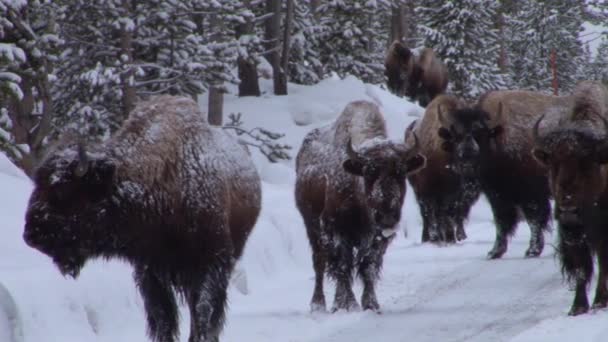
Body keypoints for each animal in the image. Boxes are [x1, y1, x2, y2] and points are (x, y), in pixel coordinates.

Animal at [23, 95, 262, 342]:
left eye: (61, 191)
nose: (31, 236)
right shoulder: (150, 272)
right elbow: (163, 318)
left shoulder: (210, 264)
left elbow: (203, 312)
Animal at [296, 99, 426, 312]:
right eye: (369, 172)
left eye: (400, 172)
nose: (387, 216)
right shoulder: (337, 231)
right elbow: (343, 265)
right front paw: (348, 304)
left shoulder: (377, 237)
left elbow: (368, 265)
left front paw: (371, 304)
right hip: (312, 226)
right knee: (320, 262)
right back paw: (319, 304)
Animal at [406, 93, 482, 243]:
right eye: (456, 136)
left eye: (477, 134)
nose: (469, 151)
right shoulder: (426, 191)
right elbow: (430, 213)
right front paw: (435, 237)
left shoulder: (454, 193)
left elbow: (450, 213)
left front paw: (452, 237)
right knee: (428, 215)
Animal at [528, 80, 608, 316]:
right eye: (554, 164)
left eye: (587, 163)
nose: (569, 210)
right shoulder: (571, 233)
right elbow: (580, 266)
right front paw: (578, 307)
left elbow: (604, 262)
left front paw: (600, 301)